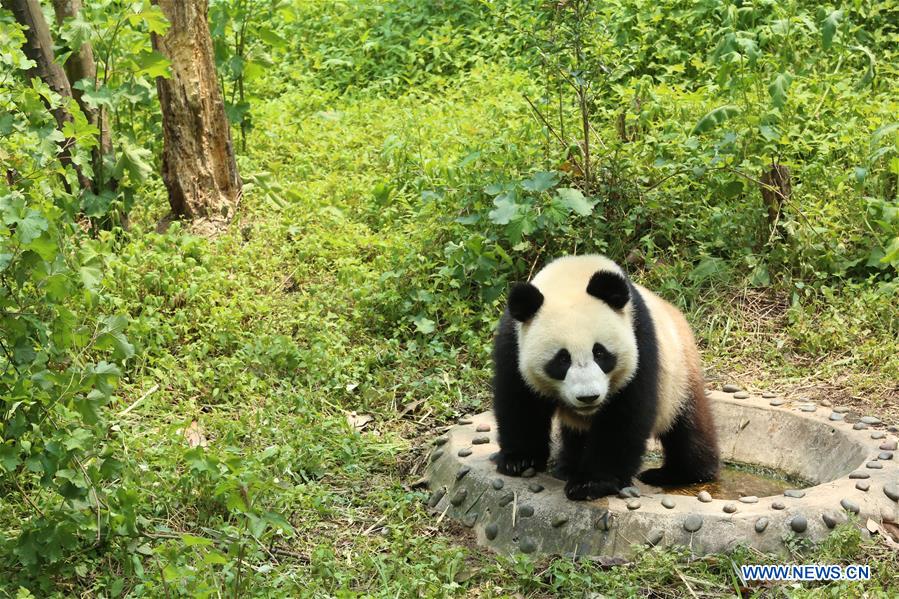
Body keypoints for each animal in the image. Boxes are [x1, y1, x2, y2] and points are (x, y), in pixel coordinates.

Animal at [492, 254, 719, 500]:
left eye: (599, 353)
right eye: (562, 359)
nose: (588, 397)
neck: (572, 276)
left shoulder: (640, 338)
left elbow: (624, 415)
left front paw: (592, 483)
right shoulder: (513, 341)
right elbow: (520, 402)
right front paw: (519, 460)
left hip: (679, 373)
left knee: (687, 424)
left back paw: (681, 472)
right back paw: (567, 466)